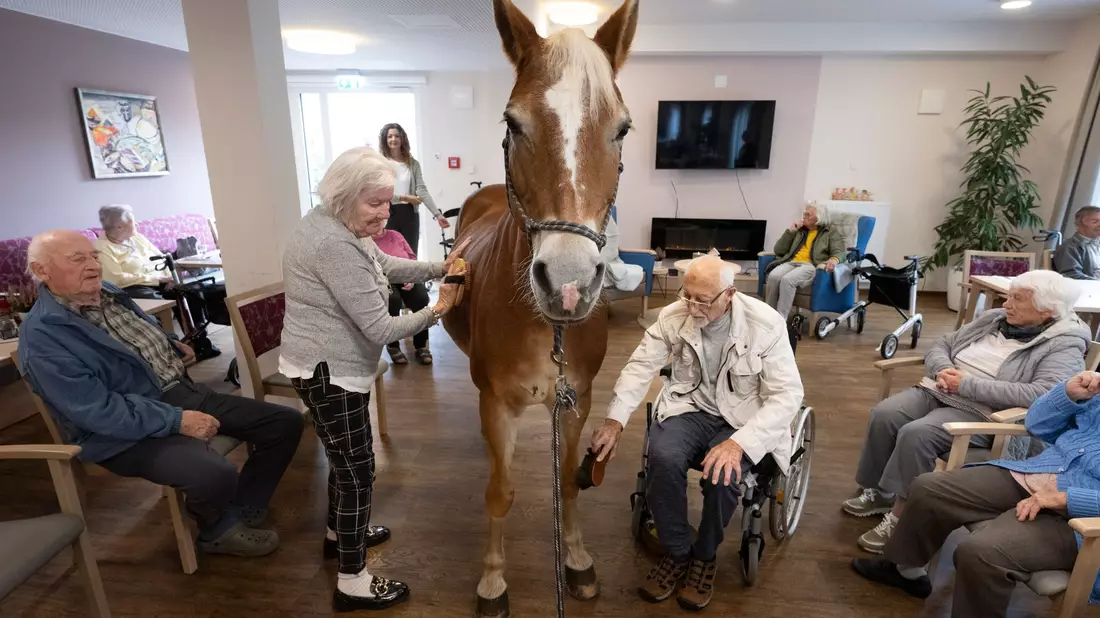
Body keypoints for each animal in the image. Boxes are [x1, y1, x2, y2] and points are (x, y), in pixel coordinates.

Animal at [442, 1, 639, 615]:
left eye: (622, 128)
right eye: (512, 123)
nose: (569, 284)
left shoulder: (578, 400)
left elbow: (571, 483)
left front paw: (575, 560)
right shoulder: (498, 405)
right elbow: (500, 491)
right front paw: (492, 581)